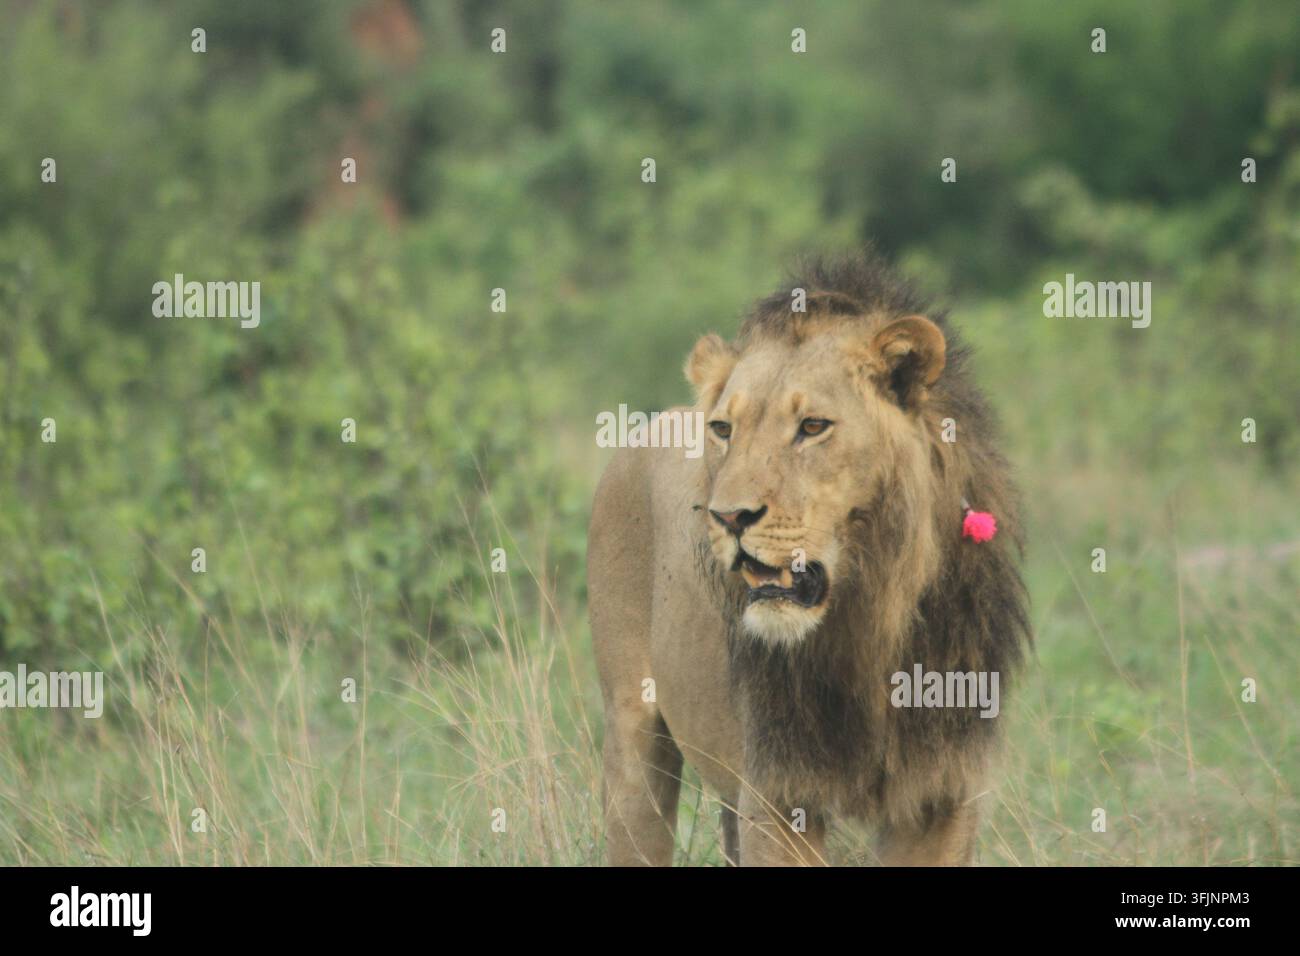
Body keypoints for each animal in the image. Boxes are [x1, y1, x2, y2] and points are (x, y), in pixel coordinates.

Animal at [588, 250, 1030, 866]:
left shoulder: (942, 797)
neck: (871, 619)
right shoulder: (779, 794)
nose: (728, 517)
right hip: (634, 736)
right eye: (723, 428)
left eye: (813, 427)